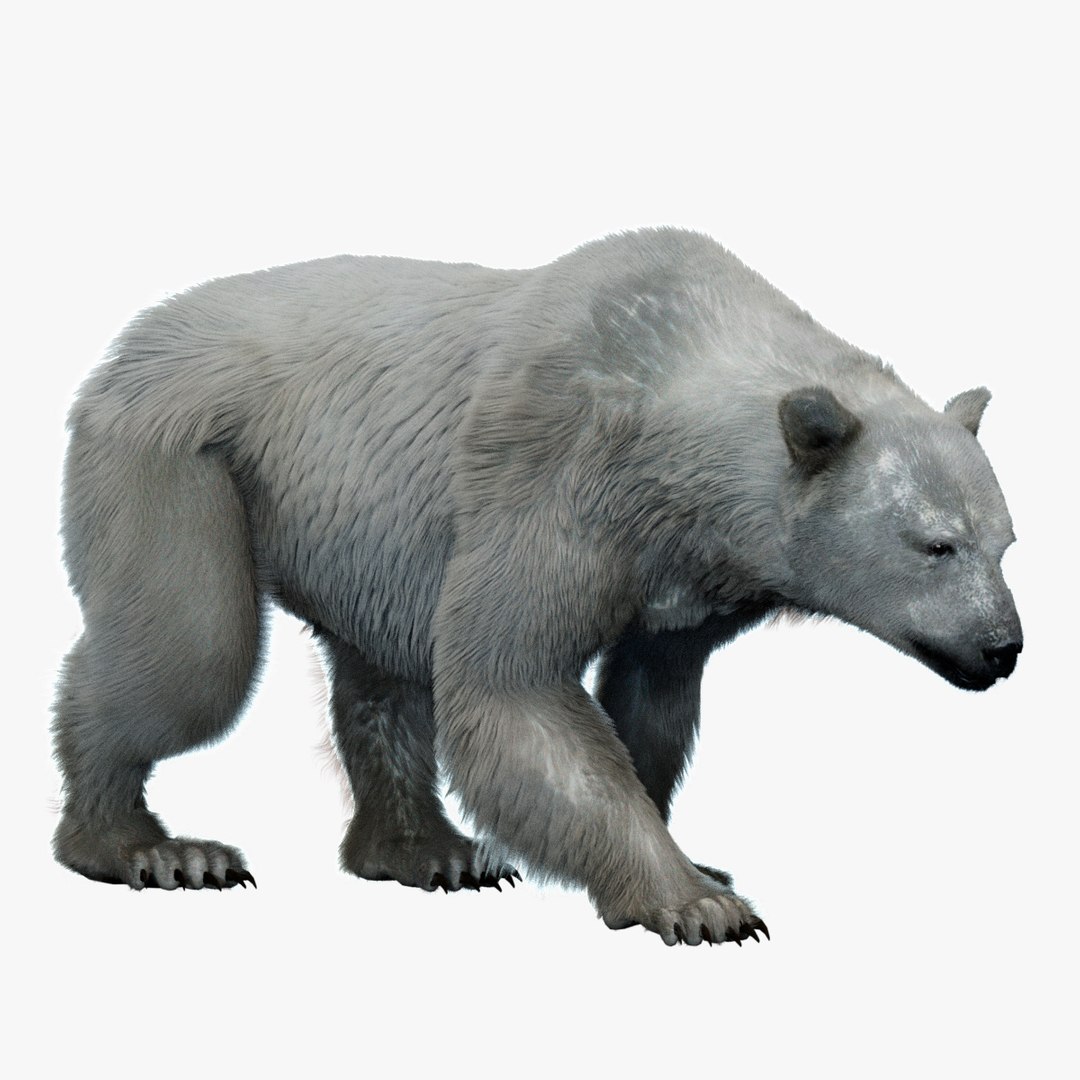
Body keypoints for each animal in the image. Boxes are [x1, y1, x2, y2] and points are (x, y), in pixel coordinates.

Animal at [53, 228, 1022, 946]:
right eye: (935, 545)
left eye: (1008, 542)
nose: (1003, 647)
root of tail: (131, 340)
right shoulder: (558, 474)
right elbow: (512, 682)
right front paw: (699, 905)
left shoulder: (688, 572)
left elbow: (651, 699)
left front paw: (694, 862)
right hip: (179, 453)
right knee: (193, 654)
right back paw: (149, 849)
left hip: (356, 525)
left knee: (383, 675)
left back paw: (427, 852)